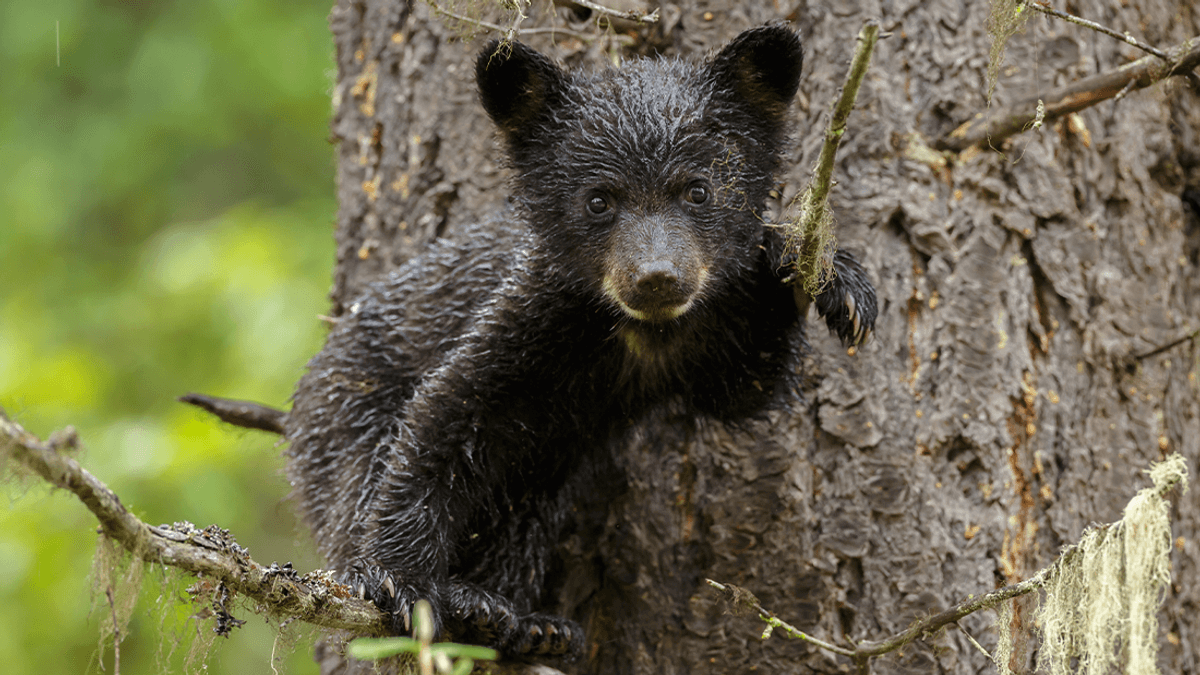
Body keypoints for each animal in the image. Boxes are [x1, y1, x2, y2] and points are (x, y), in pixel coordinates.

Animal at [284, 24, 877, 662]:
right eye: (599, 198)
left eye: (698, 190)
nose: (657, 277)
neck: (644, 332)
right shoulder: (530, 318)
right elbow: (442, 417)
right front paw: (401, 581)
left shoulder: (709, 330)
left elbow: (743, 391)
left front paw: (825, 275)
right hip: (345, 400)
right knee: (356, 475)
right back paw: (454, 596)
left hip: (545, 472)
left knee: (520, 512)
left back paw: (521, 620)